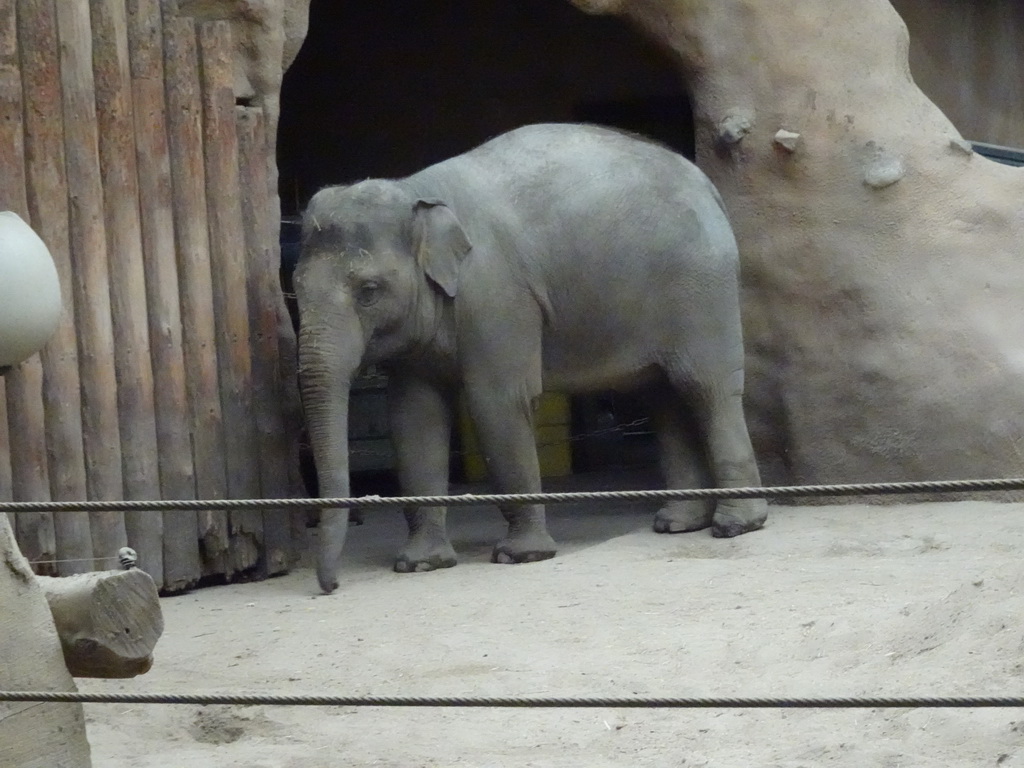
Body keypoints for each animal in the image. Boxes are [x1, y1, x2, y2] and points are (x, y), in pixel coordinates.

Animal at [292, 121, 765, 593]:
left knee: (705, 388)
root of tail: (707, 185)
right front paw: (419, 564)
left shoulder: (498, 295)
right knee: (664, 397)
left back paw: (735, 525)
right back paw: (677, 523)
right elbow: (414, 417)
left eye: (369, 291)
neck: (415, 190)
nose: (331, 587)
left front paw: (520, 556)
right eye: (294, 286)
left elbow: (497, 404)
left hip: (701, 288)